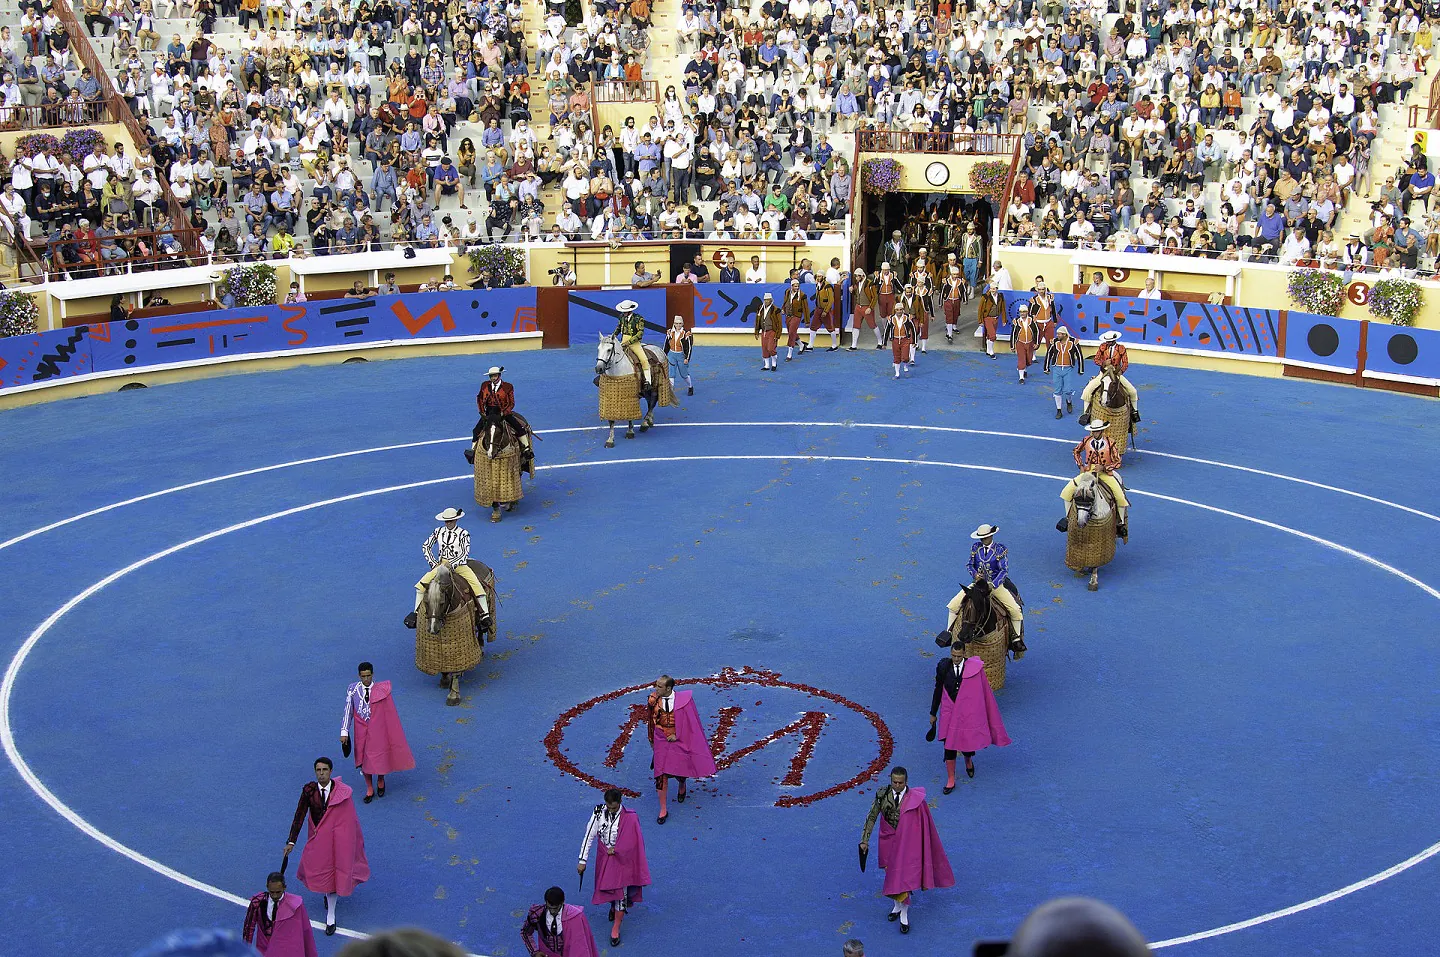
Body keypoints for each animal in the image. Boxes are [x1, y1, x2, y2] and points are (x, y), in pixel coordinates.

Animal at [411, 561, 495, 702]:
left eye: (442, 603)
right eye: (426, 602)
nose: (433, 628)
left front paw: (453, 695)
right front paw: (444, 679)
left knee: (481, 627)